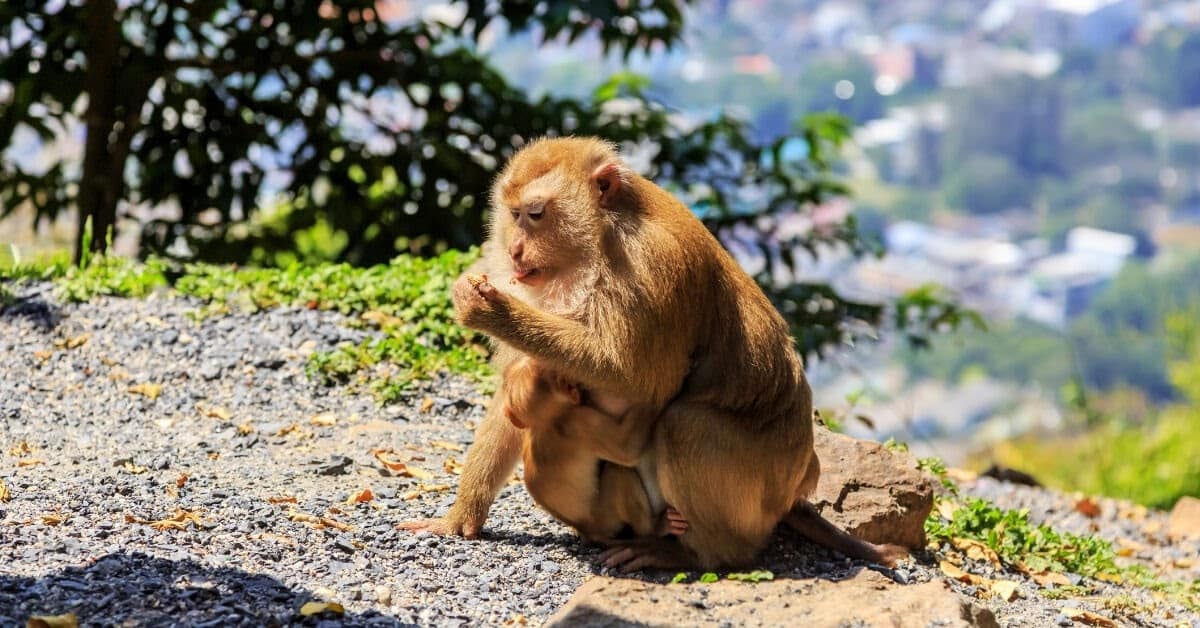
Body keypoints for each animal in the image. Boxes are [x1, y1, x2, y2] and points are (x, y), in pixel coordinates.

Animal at [496, 350, 686, 542]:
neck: (548, 422)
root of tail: (589, 531)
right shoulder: (581, 421)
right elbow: (628, 450)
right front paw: (652, 398)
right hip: (606, 517)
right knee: (619, 472)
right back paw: (656, 528)